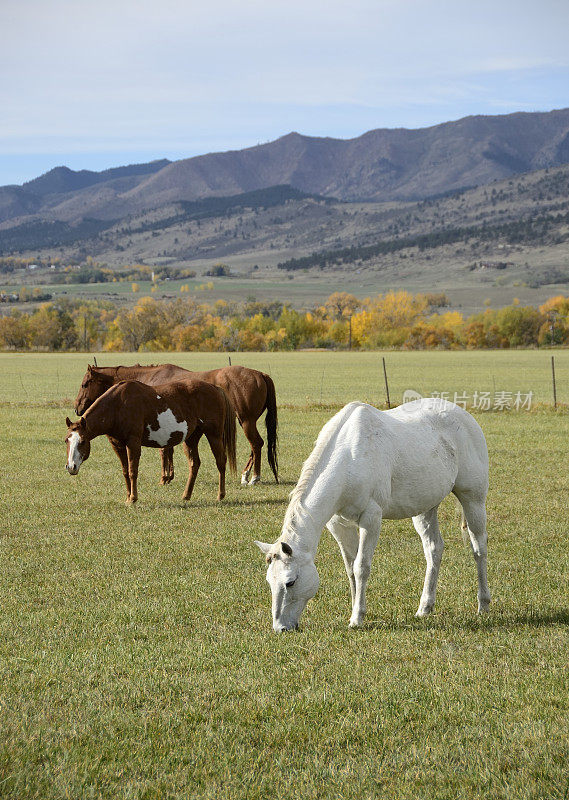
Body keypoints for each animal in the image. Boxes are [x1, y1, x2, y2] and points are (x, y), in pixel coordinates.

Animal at [64, 378, 235, 504]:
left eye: (82, 441)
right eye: (66, 441)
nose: (71, 467)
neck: (118, 405)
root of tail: (214, 387)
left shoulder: (133, 443)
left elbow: (133, 471)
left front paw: (133, 498)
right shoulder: (117, 445)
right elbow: (125, 471)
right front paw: (128, 497)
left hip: (214, 435)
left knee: (221, 462)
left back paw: (220, 495)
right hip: (191, 439)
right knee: (194, 464)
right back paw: (186, 495)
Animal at [74, 360, 278, 484]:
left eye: (84, 384)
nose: (77, 407)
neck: (148, 381)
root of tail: (261, 374)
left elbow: (164, 451)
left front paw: (165, 477)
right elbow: (168, 449)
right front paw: (169, 476)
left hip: (246, 421)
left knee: (256, 444)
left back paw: (254, 477)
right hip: (246, 422)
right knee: (255, 446)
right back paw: (245, 475)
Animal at [255, 398, 490, 632]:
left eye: (290, 582)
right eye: (269, 581)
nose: (280, 628)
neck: (349, 457)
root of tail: (462, 415)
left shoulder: (371, 519)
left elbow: (361, 567)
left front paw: (357, 617)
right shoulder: (338, 524)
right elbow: (350, 568)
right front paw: (354, 608)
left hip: (473, 500)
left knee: (479, 548)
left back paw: (483, 605)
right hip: (425, 508)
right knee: (434, 550)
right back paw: (425, 608)